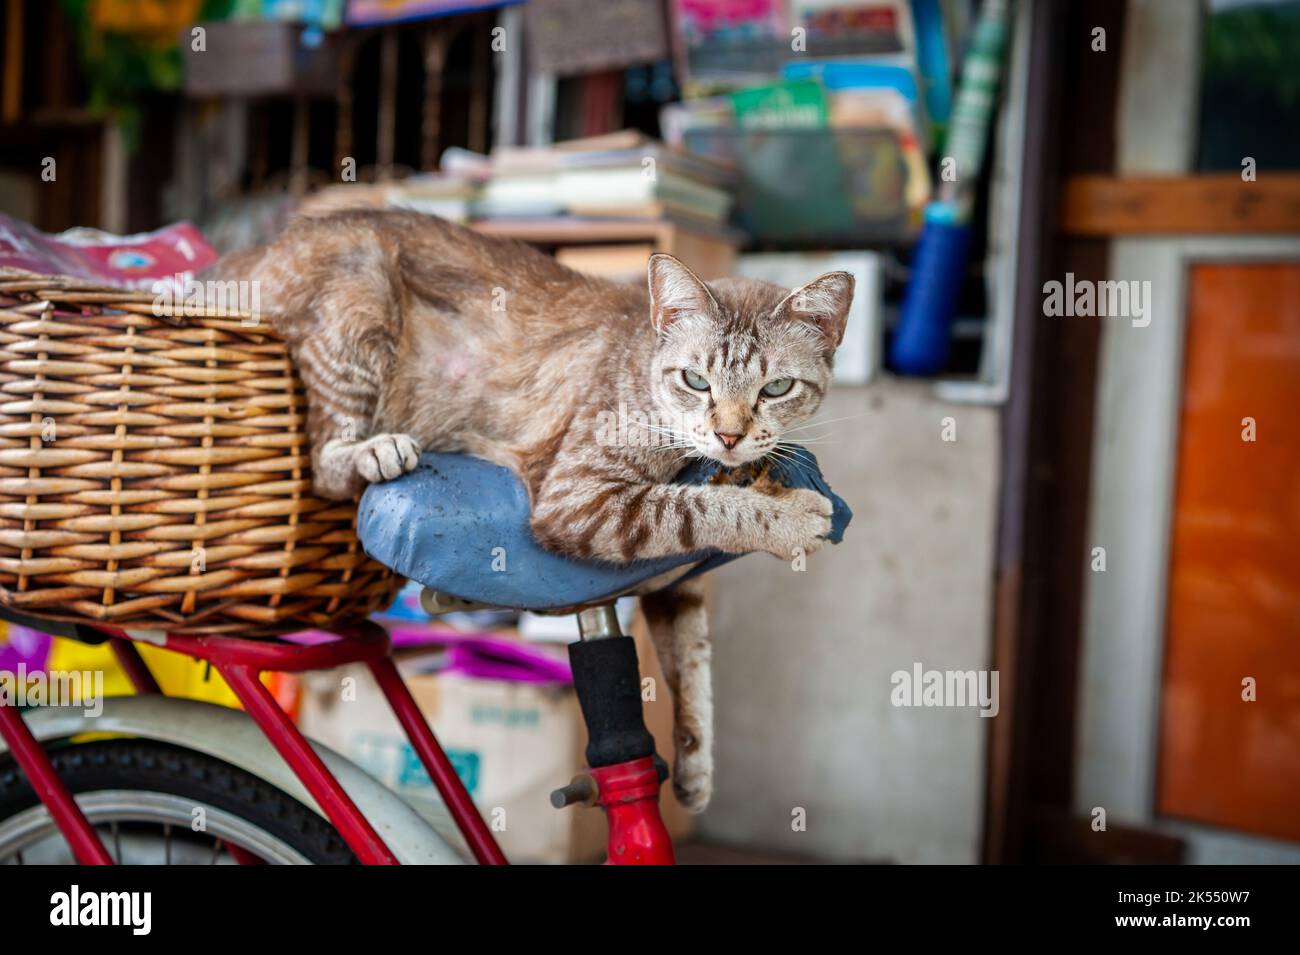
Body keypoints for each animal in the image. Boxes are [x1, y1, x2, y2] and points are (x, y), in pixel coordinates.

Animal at [210, 210, 852, 815]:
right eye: (696, 380)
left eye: (776, 389)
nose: (728, 436)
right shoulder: (580, 500)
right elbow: (702, 507)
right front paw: (792, 517)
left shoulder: (674, 584)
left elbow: (693, 664)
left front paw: (695, 769)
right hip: (359, 297)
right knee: (325, 461)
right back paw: (376, 450)